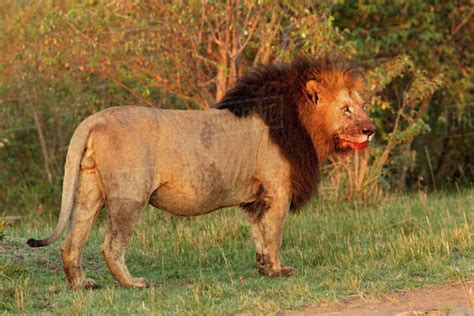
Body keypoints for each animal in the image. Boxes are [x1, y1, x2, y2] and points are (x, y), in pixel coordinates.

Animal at [26, 56, 374, 288]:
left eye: (364, 105)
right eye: (346, 109)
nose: (370, 130)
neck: (303, 124)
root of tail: (93, 119)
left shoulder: (257, 198)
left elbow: (259, 235)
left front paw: (264, 270)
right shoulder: (277, 190)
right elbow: (274, 234)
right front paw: (278, 271)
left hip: (88, 191)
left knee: (71, 242)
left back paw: (82, 285)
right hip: (130, 196)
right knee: (110, 245)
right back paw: (133, 283)